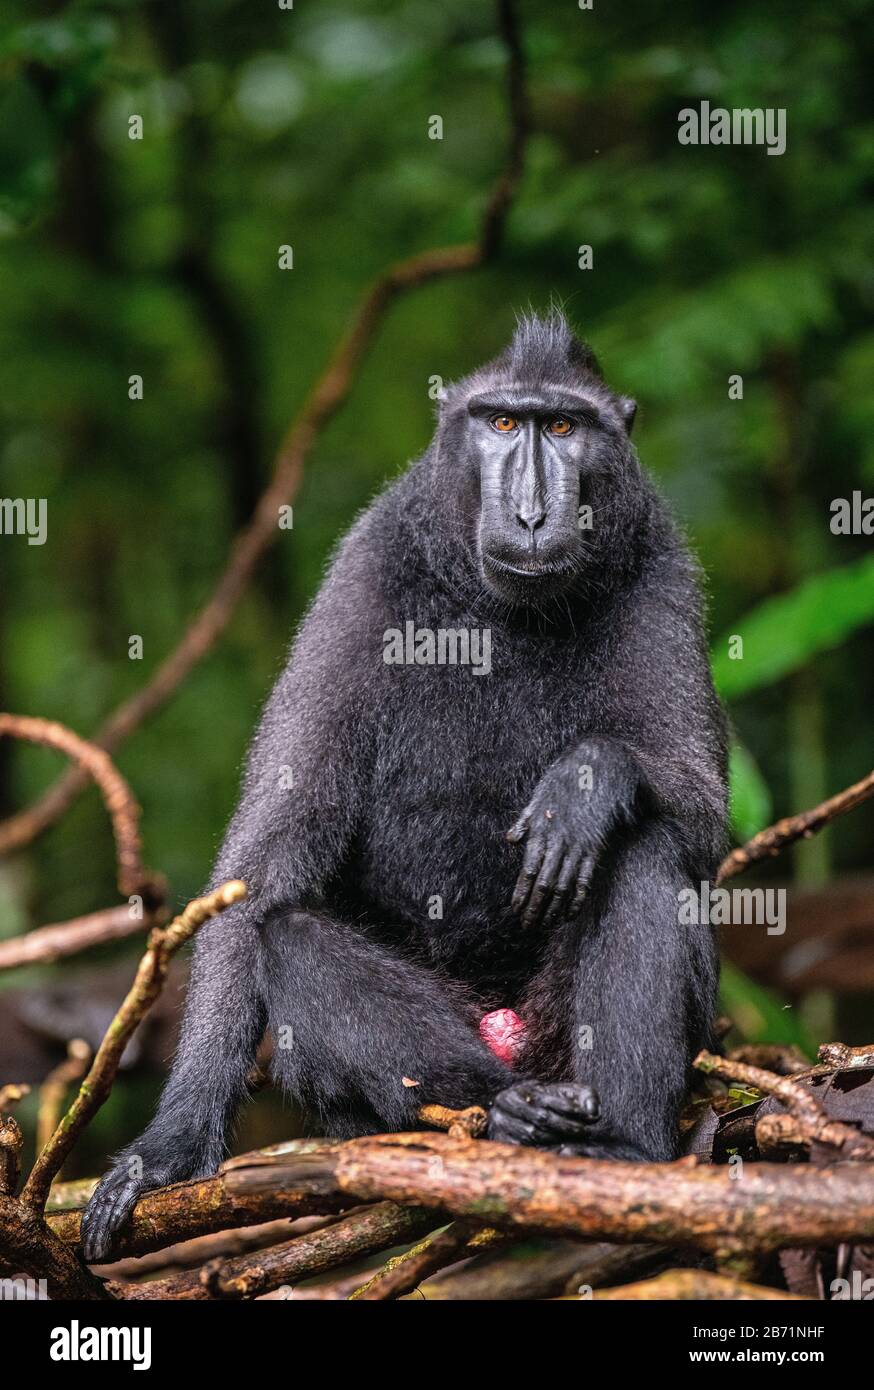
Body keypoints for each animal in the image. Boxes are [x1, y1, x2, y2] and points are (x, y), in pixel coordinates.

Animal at [81, 311, 727, 1261]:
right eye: (503, 423)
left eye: (563, 428)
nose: (532, 512)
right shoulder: (366, 569)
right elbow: (267, 860)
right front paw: (171, 1147)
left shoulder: (661, 563)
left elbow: (702, 809)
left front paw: (585, 782)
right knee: (292, 939)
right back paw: (501, 1112)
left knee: (642, 848)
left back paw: (623, 1150)